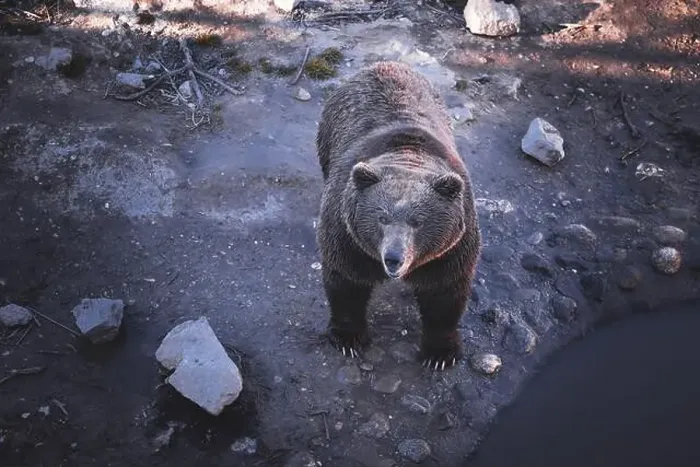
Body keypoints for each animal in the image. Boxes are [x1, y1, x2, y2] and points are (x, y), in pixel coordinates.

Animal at [315, 60, 482, 370]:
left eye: (418, 222)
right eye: (382, 218)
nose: (393, 258)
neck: (407, 156)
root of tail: (384, 63)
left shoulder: (451, 249)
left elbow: (444, 294)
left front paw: (440, 353)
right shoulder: (348, 237)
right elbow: (346, 281)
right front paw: (348, 338)